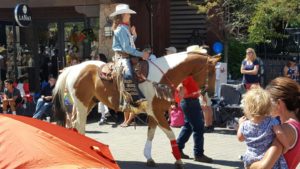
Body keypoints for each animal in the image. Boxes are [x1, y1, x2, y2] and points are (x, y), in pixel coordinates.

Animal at [52, 51, 220, 169]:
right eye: (211, 72)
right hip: (82, 103)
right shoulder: (158, 112)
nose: (211, 94)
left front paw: (149, 158)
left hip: (89, 103)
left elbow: (151, 133)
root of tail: (74, 67)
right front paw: (178, 160)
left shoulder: (153, 113)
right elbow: (170, 133)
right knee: (79, 126)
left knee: (74, 123)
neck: (161, 77)